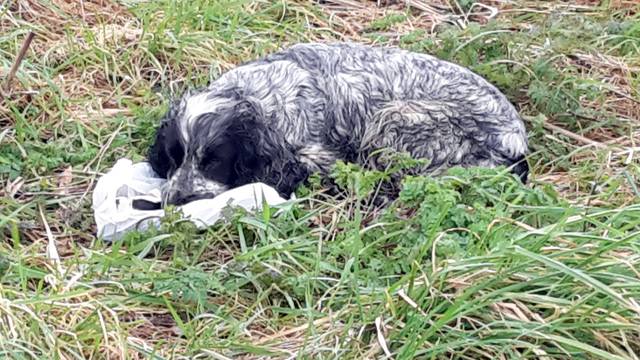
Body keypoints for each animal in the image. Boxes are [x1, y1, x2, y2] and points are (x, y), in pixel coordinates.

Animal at [149, 41, 528, 205]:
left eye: (214, 162)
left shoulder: (315, 155)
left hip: (393, 120)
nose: (176, 199)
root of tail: (516, 140)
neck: (257, 97)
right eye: (173, 158)